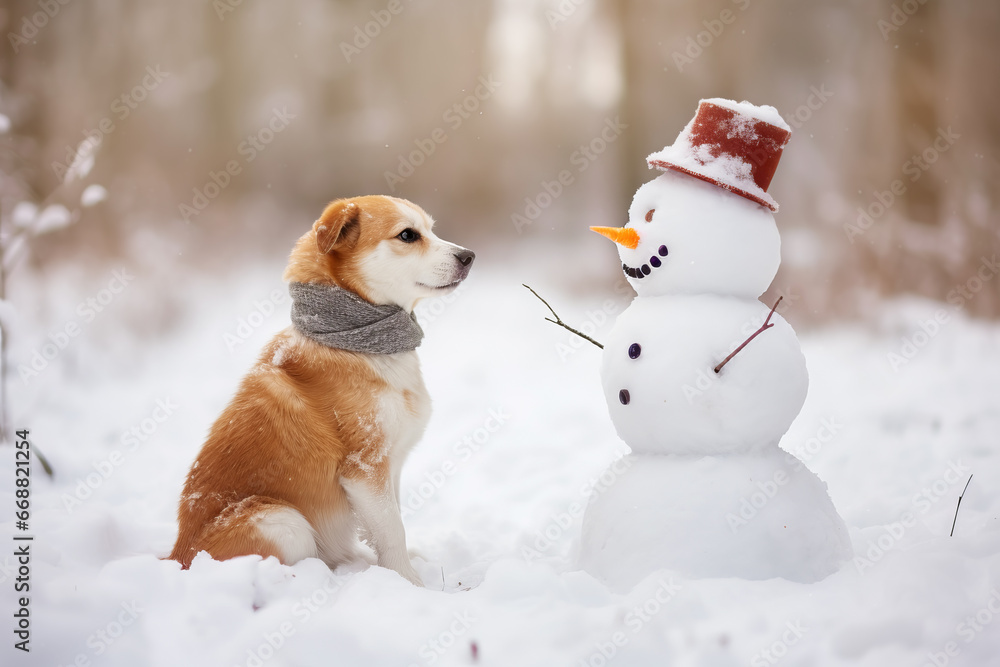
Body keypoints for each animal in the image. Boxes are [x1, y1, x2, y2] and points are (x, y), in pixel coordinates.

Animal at [168, 196, 472, 588]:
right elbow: (392, 531)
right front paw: (409, 584)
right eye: (407, 235)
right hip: (283, 522)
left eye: (431, 229)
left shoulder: (390, 465)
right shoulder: (365, 469)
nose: (469, 256)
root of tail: (177, 557)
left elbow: (392, 522)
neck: (357, 344)